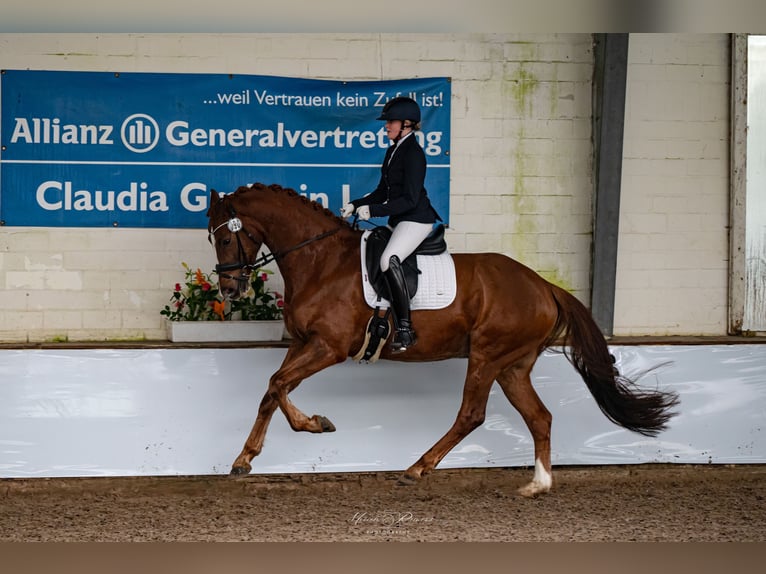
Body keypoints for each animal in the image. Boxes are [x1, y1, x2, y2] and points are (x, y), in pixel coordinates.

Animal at [208, 184, 680, 500]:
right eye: (213, 238)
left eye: (227, 236)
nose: (229, 289)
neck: (321, 260)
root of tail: (544, 286)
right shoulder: (304, 343)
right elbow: (274, 389)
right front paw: (251, 455)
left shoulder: (329, 347)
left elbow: (276, 385)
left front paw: (303, 429)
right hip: (513, 366)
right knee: (539, 417)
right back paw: (537, 485)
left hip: (487, 356)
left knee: (472, 414)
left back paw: (418, 468)